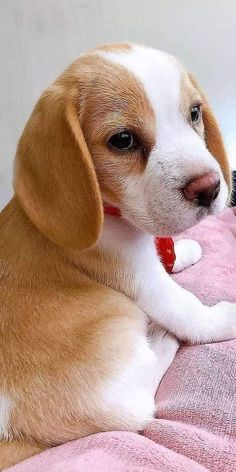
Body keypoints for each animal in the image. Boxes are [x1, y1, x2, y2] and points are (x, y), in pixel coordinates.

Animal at [0, 43, 233, 468]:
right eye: (123, 139)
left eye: (194, 113)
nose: (209, 188)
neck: (115, 214)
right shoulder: (144, 280)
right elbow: (190, 312)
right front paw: (224, 318)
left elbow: (167, 251)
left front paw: (185, 250)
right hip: (118, 340)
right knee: (137, 405)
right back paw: (161, 339)